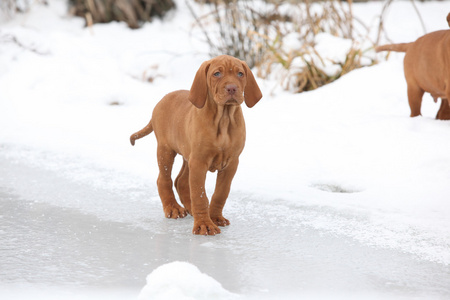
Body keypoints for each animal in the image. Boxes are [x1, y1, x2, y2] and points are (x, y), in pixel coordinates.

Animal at [130, 55, 262, 236]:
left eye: (240, 74)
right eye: (217, 73)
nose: (232, 88)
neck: (224, 119)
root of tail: (162, 100)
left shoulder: (231, 163)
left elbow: (221, 193)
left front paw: (215, 217)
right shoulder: (199, 162)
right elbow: (200, 195)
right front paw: (204, 225)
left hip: (188, 155)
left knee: (181, 181)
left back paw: (190, 209)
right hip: (166, 150)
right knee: (163, 179)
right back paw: (173, 208)